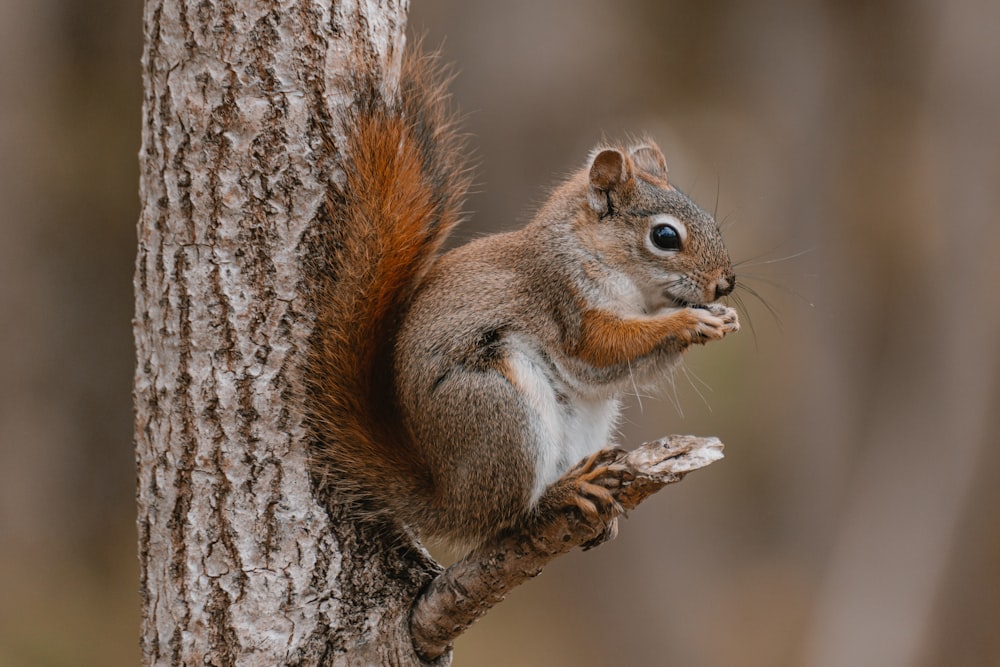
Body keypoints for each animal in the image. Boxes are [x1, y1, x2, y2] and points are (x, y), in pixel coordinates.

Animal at [308, 49, 740, 556]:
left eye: (711, 219)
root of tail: (451, 500)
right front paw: (687, 322)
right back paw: (562, 493)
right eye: (665, 236)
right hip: (500, 410)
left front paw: (722, 319)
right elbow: (601, 349)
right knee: (508, 516)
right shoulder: (564, 304)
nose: (726, 284)